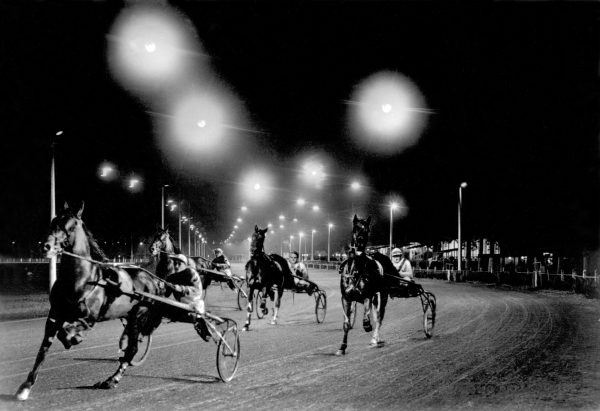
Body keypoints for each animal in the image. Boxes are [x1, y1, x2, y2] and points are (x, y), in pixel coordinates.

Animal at [17, 203, 166, 402]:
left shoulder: (90, 318)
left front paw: (74, 337)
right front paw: (26, 386)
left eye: (71, 226)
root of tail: (152, 279)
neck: (80, 279)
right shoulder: (54, 315)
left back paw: (112, 380)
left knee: (132, 349)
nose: (46, 246)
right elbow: (44, 348)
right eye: (54, 220)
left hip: (138, 314)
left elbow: (66, 331)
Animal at [336, 216, 392, 358]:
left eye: (367, 230)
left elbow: (367, 319)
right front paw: (342, 348)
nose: (360, 241)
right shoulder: (346, 298)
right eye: (355, 229)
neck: (355, 271)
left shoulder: (368, 295)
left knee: (379, 317)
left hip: (382, 296)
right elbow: (346, 324)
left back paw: (375, 339)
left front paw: (368, 327)